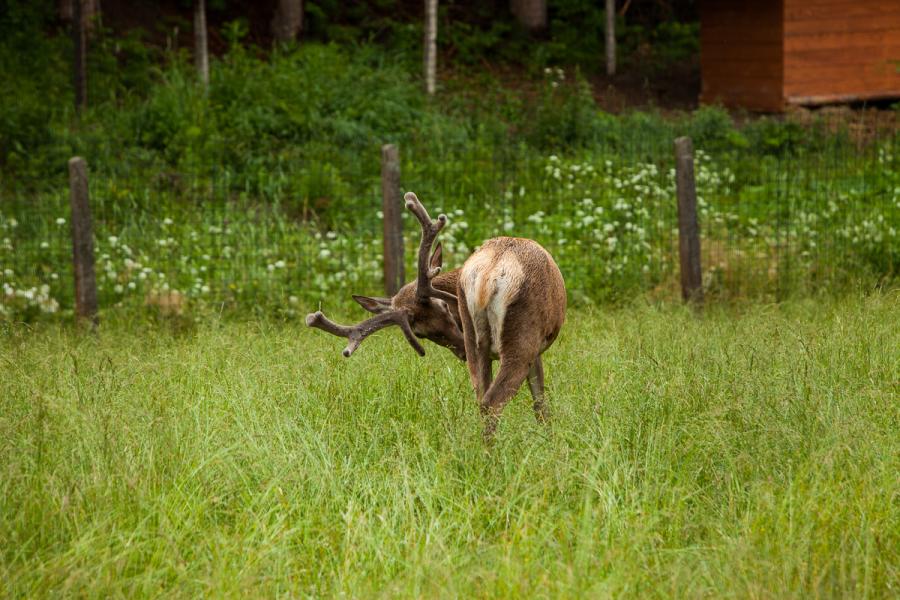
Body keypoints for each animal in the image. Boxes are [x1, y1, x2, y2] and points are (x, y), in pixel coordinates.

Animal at [306, 192, 568, 440]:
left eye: (445, 307)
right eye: (420, 332)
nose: (460, 350)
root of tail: (488, 275)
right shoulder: (538, 348)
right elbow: (540, 402)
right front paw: (550, 441)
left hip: (477, 344)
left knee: (481, 398)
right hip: (523, 335)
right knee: (493, 401)